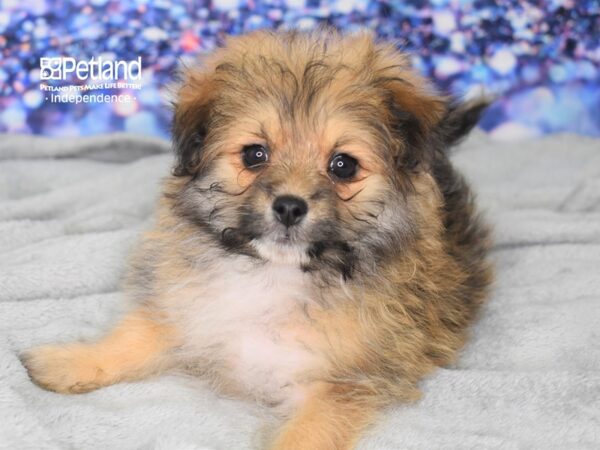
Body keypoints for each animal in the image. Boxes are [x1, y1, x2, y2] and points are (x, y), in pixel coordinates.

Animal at [22, 29, 492, 448]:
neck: (274, 273)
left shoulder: (339, 384)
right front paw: (71, 361)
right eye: (254, 154)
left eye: (343, 165)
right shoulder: (184, 309)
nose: (289, 206)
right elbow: (134, 337)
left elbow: (307, 435)